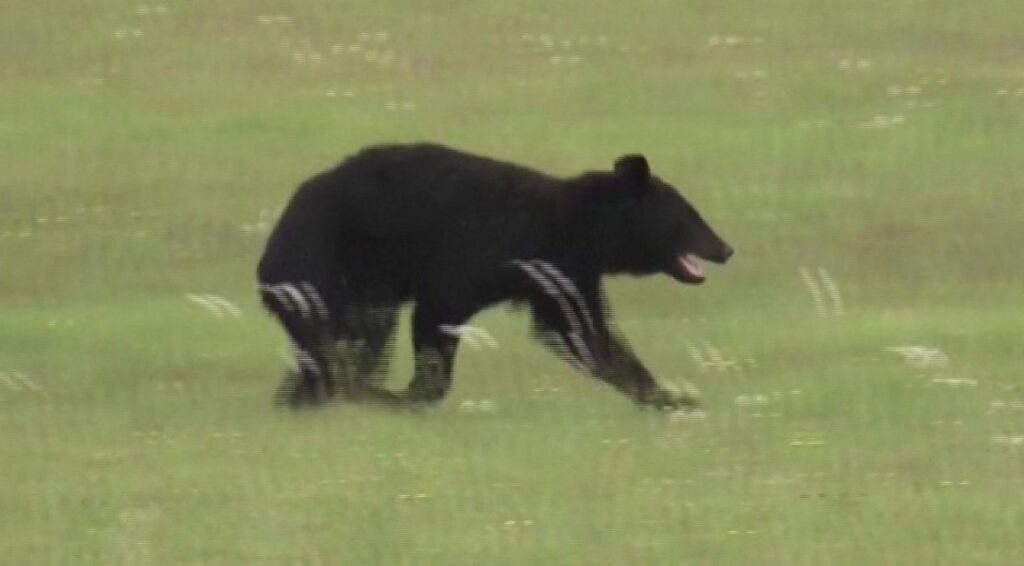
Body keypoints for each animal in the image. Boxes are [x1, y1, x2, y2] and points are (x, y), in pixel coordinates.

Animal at [257, 143, 733, 410]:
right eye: (688, 217)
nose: (726, 248)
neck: (575, 228)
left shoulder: (566, 275)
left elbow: (584, 333)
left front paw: (669, 397)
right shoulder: (475, 257)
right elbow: (438, 314)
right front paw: (411, 396)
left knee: (345, 346)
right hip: (327, 270)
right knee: (347, 340)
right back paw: (344, 392)